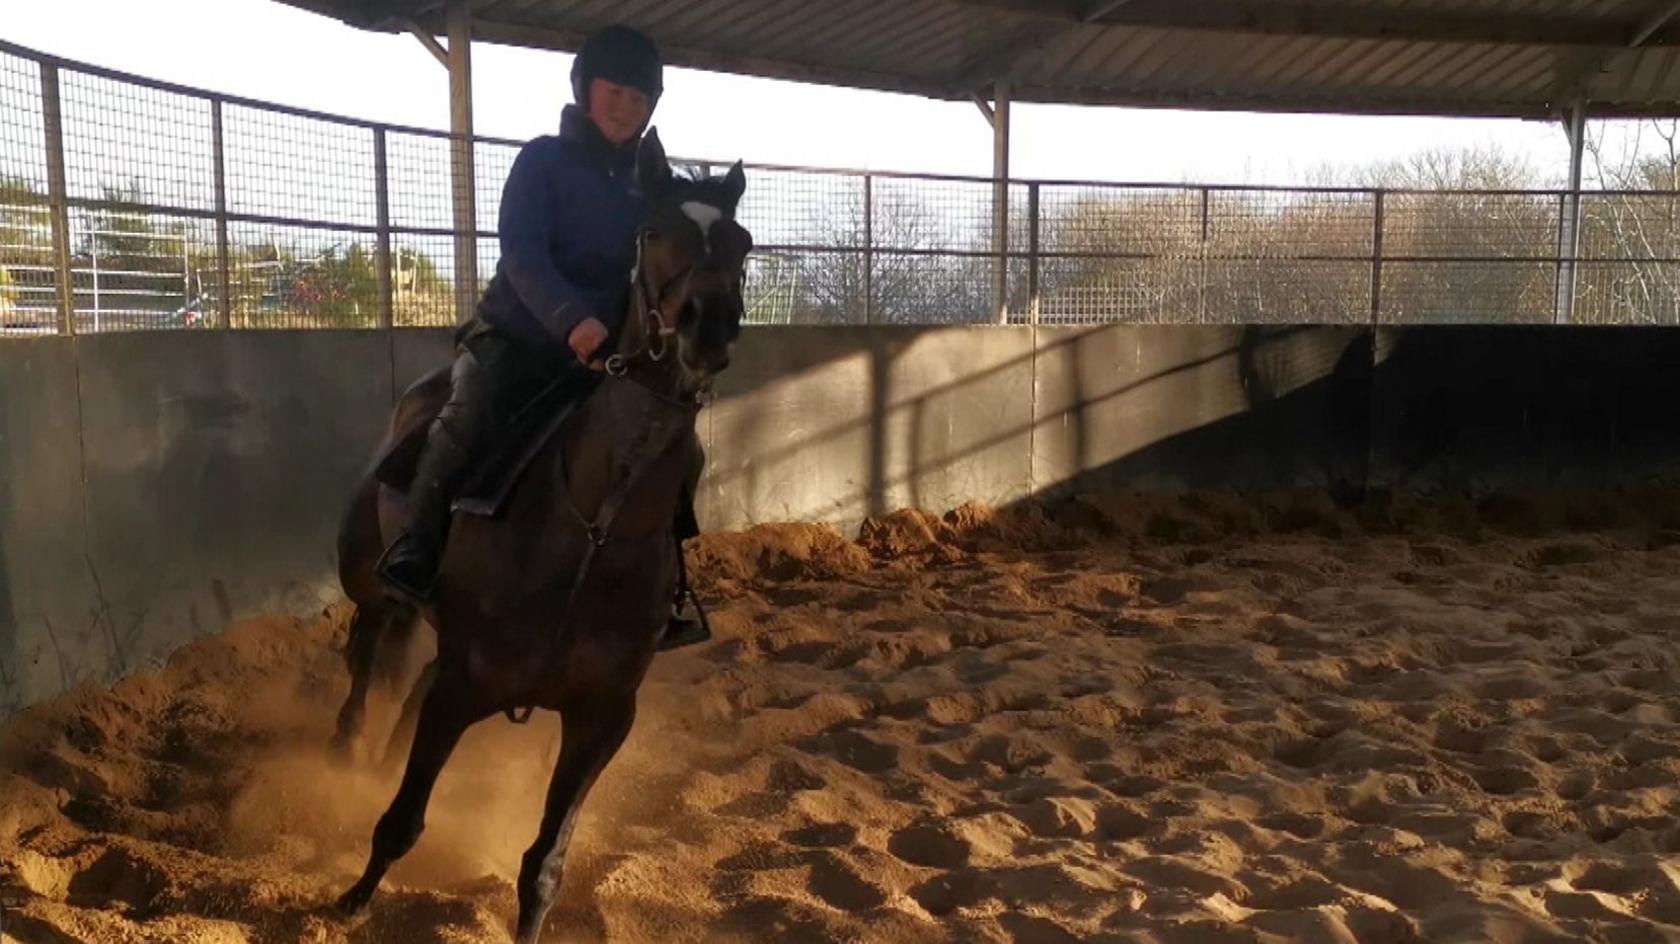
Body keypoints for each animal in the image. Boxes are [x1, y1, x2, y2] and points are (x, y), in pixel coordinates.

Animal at [327, 126, 749, 940]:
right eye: (653, 232)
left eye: (743, 244)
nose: (707, 328)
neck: (592, 527)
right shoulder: (462, 687)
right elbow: (401, 822)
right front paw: (352, 899)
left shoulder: (600, 719)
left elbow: (544, 867)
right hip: (372, 584)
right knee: (365, 650)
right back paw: (345, 743)